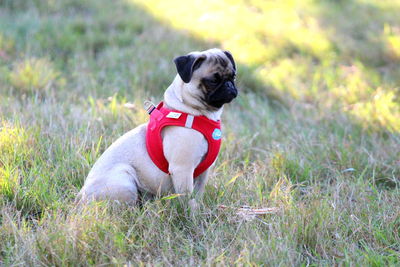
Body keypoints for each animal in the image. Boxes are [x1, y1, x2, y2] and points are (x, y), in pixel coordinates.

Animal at [76, 48, 236, 208]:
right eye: (213, 81)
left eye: (233, 76)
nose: (229, 85)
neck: (193, 111)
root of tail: (81, 196)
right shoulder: (183, 169)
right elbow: (188, 198)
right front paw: (192, 212)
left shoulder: (203, 172)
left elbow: (198, 193)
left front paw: (199, 207)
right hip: (124, 179)